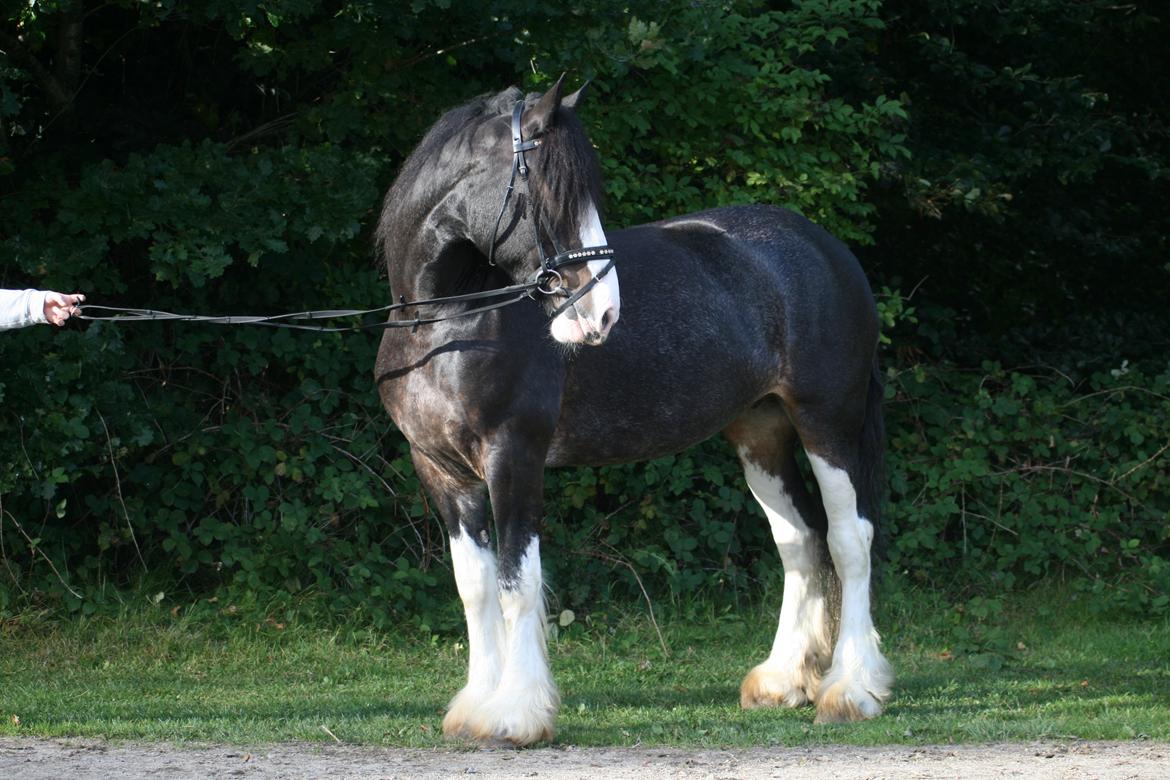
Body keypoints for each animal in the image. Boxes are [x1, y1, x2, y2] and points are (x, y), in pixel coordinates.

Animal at [374, 76, 884, 748]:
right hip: (761, 433)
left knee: (851, 539)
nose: (603, 312)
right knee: (799, 539)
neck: (445, 325)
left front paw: (517, 712)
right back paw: (782, 681)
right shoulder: (440, 470)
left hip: (829, 424)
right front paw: (476, 705)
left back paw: (852, 689)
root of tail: (827, 248)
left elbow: (517, 583)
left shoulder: (514, 456)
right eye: (545, 191)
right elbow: (476, 586)